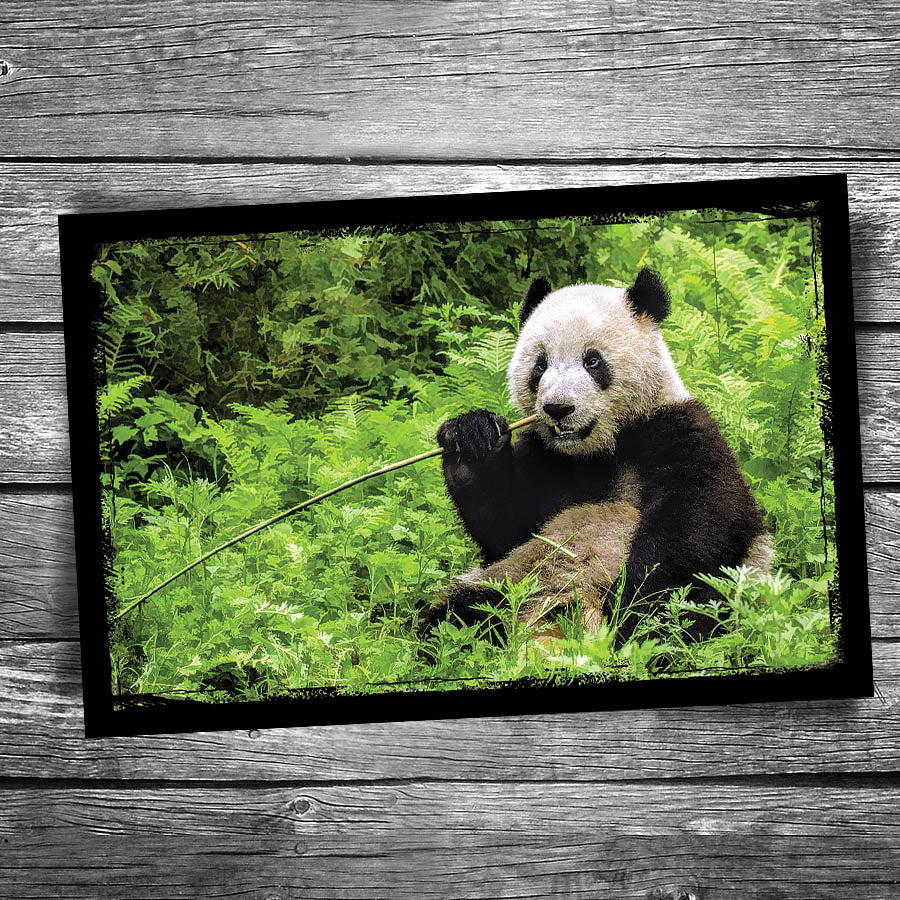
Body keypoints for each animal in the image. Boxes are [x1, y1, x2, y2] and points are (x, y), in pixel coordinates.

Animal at [424, 268, 773, 647]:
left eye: (592, 361)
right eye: (540, 365)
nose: (558, 408)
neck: (600, 448)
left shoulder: (679, 431)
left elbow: (699, 523)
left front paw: (632, 605)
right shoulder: (546, 458)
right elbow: (506, 530)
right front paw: (470, 440)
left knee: (691, 615)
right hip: (512, 580)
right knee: (456, 617)